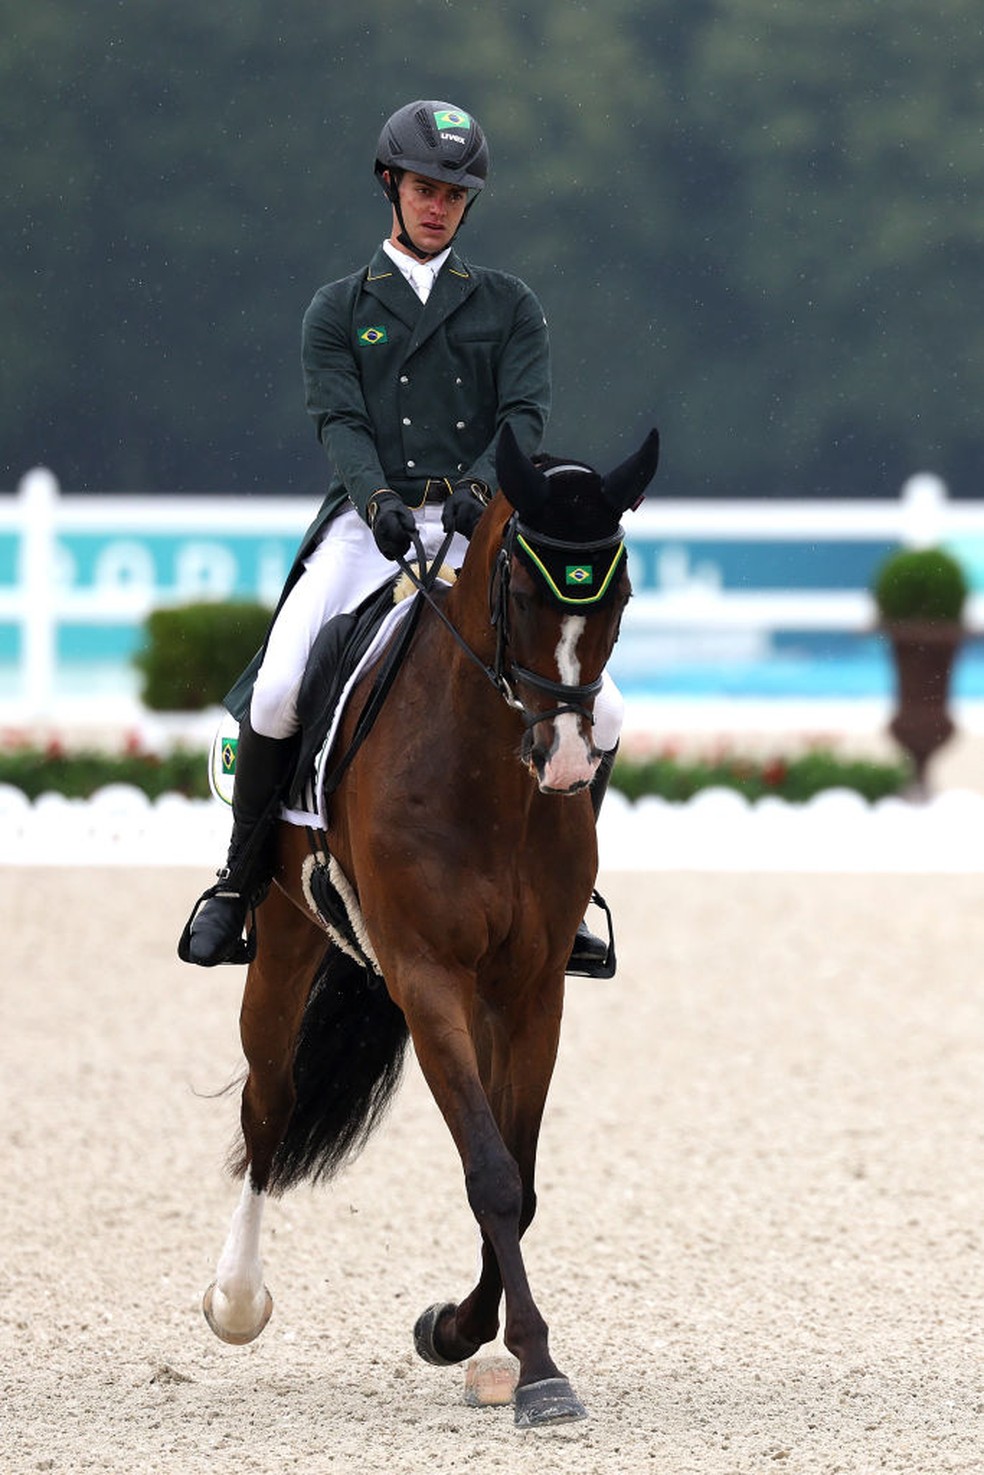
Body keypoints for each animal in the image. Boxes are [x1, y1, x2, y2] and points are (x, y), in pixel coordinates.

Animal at [203, 424, 657, 1427]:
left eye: (619, 594)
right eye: (522, 594)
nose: (566, 762)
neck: (486, 771)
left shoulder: (529, 989)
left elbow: (519, 1178)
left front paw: (461, 1330)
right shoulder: (426, 976)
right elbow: (489, 1170)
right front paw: (536, 1368)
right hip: (284, 934)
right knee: (268, 1102)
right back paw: (236, 1299)